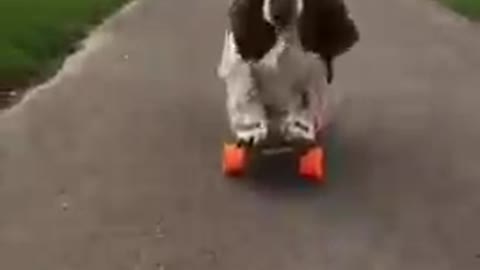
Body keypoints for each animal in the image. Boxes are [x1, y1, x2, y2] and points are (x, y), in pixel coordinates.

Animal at [217, 0, 356, 143]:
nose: (281, 7)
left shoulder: (315, 65)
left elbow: (307, 98)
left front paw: (301, 127)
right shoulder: (239, 63)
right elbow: (246, 93)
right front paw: (250, 131)